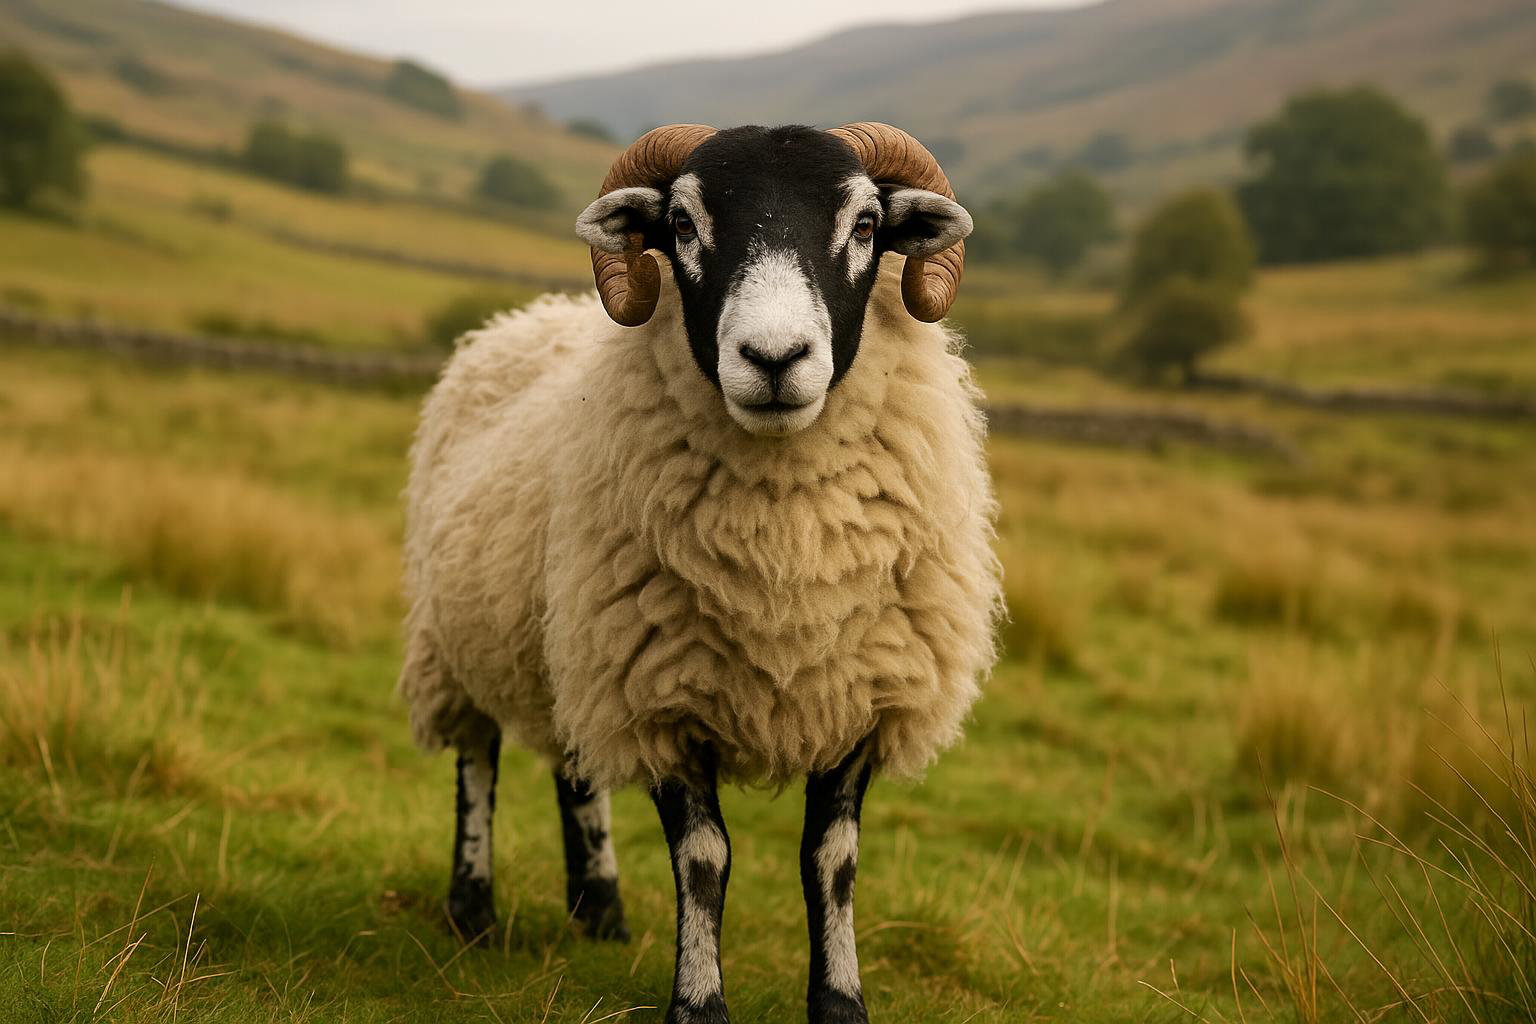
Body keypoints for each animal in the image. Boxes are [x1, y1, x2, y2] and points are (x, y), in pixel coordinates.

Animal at [398, 122, 1002, 1024]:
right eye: (681, 224)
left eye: (866, 225)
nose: (775, 357)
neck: (784, 550)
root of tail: (520, 319)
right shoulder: (662, 693)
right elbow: (704, 859)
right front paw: (699, 1003)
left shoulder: (860, 695)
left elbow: (832, 861)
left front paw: (841, 1003)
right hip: (462, 639)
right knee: (477, 758)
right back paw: (471, 905)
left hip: (573, 639)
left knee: (577, 771)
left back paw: (600, 909)